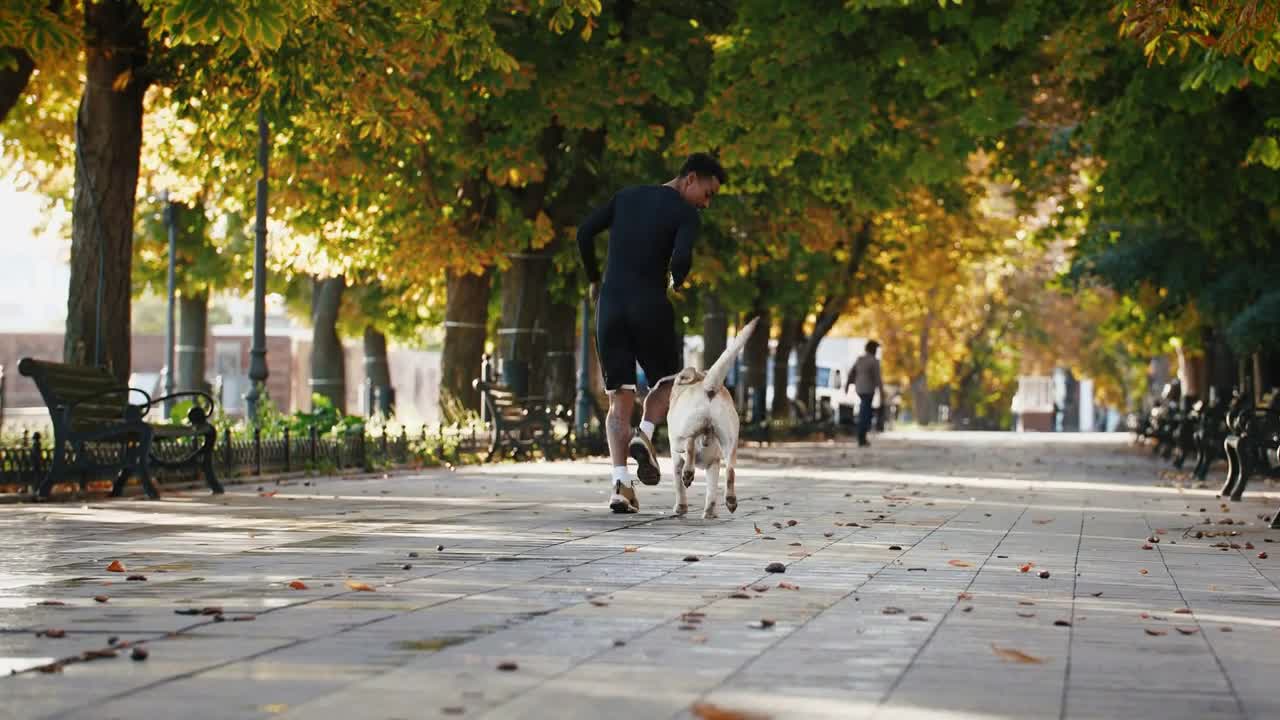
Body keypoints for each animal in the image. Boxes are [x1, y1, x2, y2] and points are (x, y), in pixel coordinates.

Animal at [665, 316, 752, 517]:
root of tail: (709, 387)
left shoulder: (676, 460)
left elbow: (679, 486)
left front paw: (680, 507)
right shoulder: (714, 464)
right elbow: (712, 491)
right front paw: (710, 513)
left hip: (679, 437)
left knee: (689, 444)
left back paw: (689, 473)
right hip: (730, 441)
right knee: (731, 470)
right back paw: (731, 500)